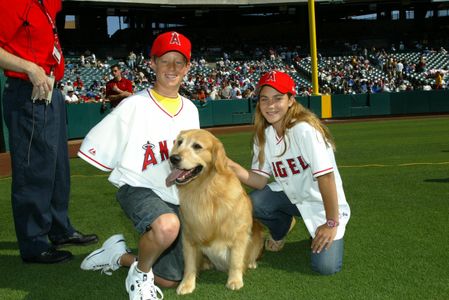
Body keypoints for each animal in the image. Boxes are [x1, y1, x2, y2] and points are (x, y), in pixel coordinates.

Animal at [166, 129, 264, 296]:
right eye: (179, 142)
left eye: (197, 146)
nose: (173, 158)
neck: (205, 190)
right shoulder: (189, 235)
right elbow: (189, 264)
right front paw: (186, 284)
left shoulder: (239, 234)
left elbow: (236, 260)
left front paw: (234, 280)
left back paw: (251, 263)